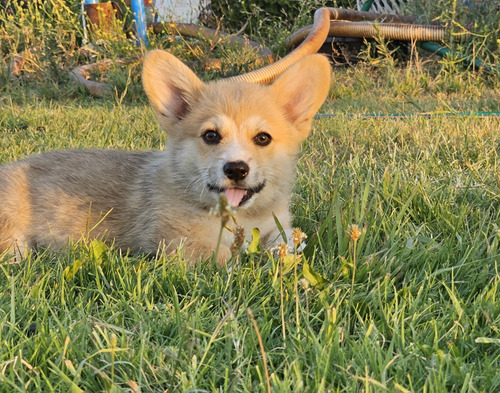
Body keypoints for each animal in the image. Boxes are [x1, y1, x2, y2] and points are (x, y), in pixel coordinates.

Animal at [0, 49, 332, 264]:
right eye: (211, 136)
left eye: (263, 138)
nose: (236, 169)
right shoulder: (185, 245)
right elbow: (229, 261)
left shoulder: (273, 228)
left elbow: (286, 243)